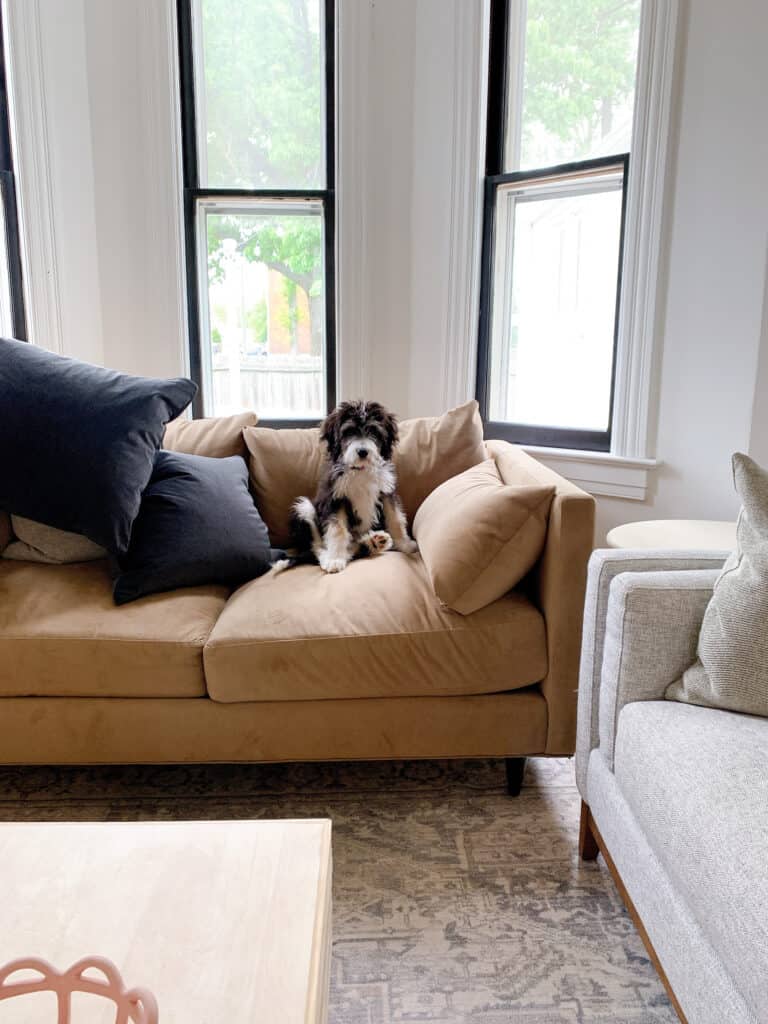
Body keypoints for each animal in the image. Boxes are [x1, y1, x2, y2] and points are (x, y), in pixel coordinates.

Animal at [274, 399, 417, 577]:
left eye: (374, 431)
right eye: (349, 431)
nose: (362, 451)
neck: (360, 470)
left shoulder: (386, 491)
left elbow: (395, 517)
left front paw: (405, 544)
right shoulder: (335, 498)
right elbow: (337, 529)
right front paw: (335, 559)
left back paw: (374, 542)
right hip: (304, 508)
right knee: (316, 548)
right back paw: (332, 557)